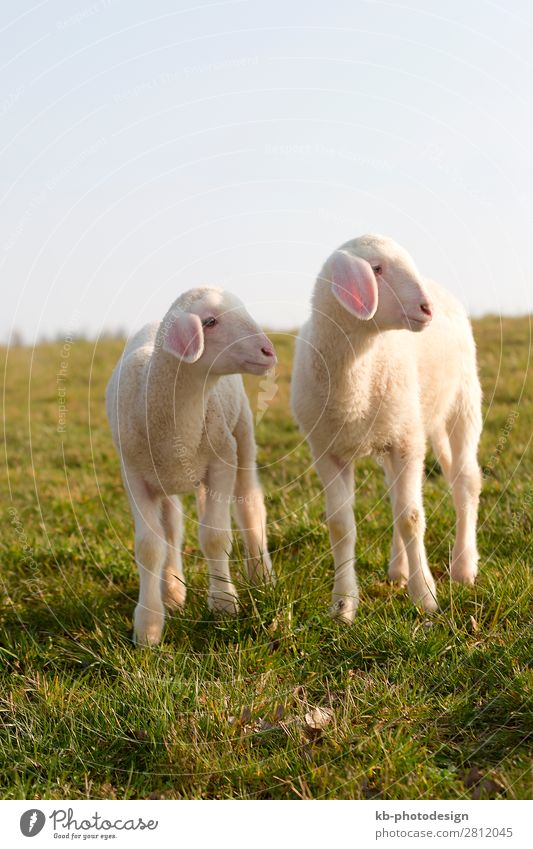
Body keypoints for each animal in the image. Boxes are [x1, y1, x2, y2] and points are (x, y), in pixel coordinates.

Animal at [106, 288, 276, 644]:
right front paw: (148, 627)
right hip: (164, 481)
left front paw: (224, 605)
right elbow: (149, 547)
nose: (269, 351)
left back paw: (261, 575)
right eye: (210, 322)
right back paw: (172, 591)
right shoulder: (135, 477)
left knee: (251, 506)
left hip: (242, 437)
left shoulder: (222, 462)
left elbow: (215, 537)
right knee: (172, 529)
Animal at [290, 235, 482, 620]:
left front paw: (425, 598)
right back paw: (399, 569)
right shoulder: (327, 451)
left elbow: (411, 518)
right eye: (376, 269)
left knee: (466, 482)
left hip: (462, 401)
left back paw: (463, 566)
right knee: (397, 494)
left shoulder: (407, 441)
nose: (427, 309)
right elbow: (340, 526)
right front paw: (343, 605)